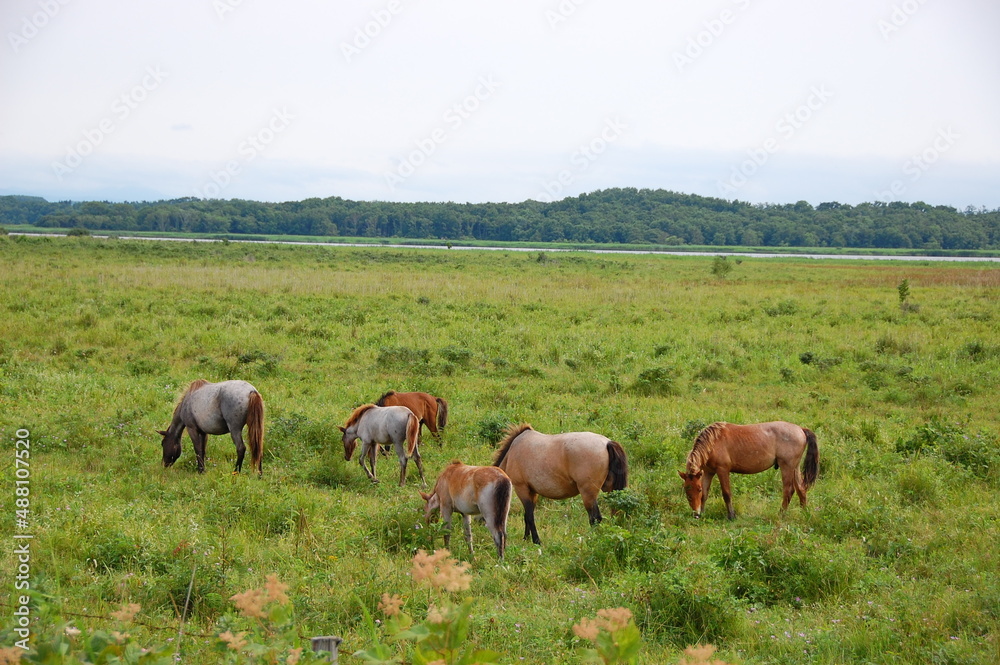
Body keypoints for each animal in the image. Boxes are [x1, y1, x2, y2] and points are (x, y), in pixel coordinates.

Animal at [490, 426, 624, 544]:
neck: (512, 452)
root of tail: (607, 443)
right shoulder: (532, 492)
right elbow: (527, 516)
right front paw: (526, 539)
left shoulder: (522, 488)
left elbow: (529, 517)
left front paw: (536, 541)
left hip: (588, 494)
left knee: (595, 518)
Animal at [680, 420, 820, 520]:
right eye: (687, 490)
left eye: (697, 489)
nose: (696, 513)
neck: (713, 442)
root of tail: (801, 429)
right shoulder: (708, 472)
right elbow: (705, 494)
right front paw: (703, 513)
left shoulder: (722, 470)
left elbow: (726, 494)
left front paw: (731, 516)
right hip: (794, 468)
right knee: (801, 489)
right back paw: (803, 512)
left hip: (787, 467)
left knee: (788, 491)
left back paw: (781, 514)